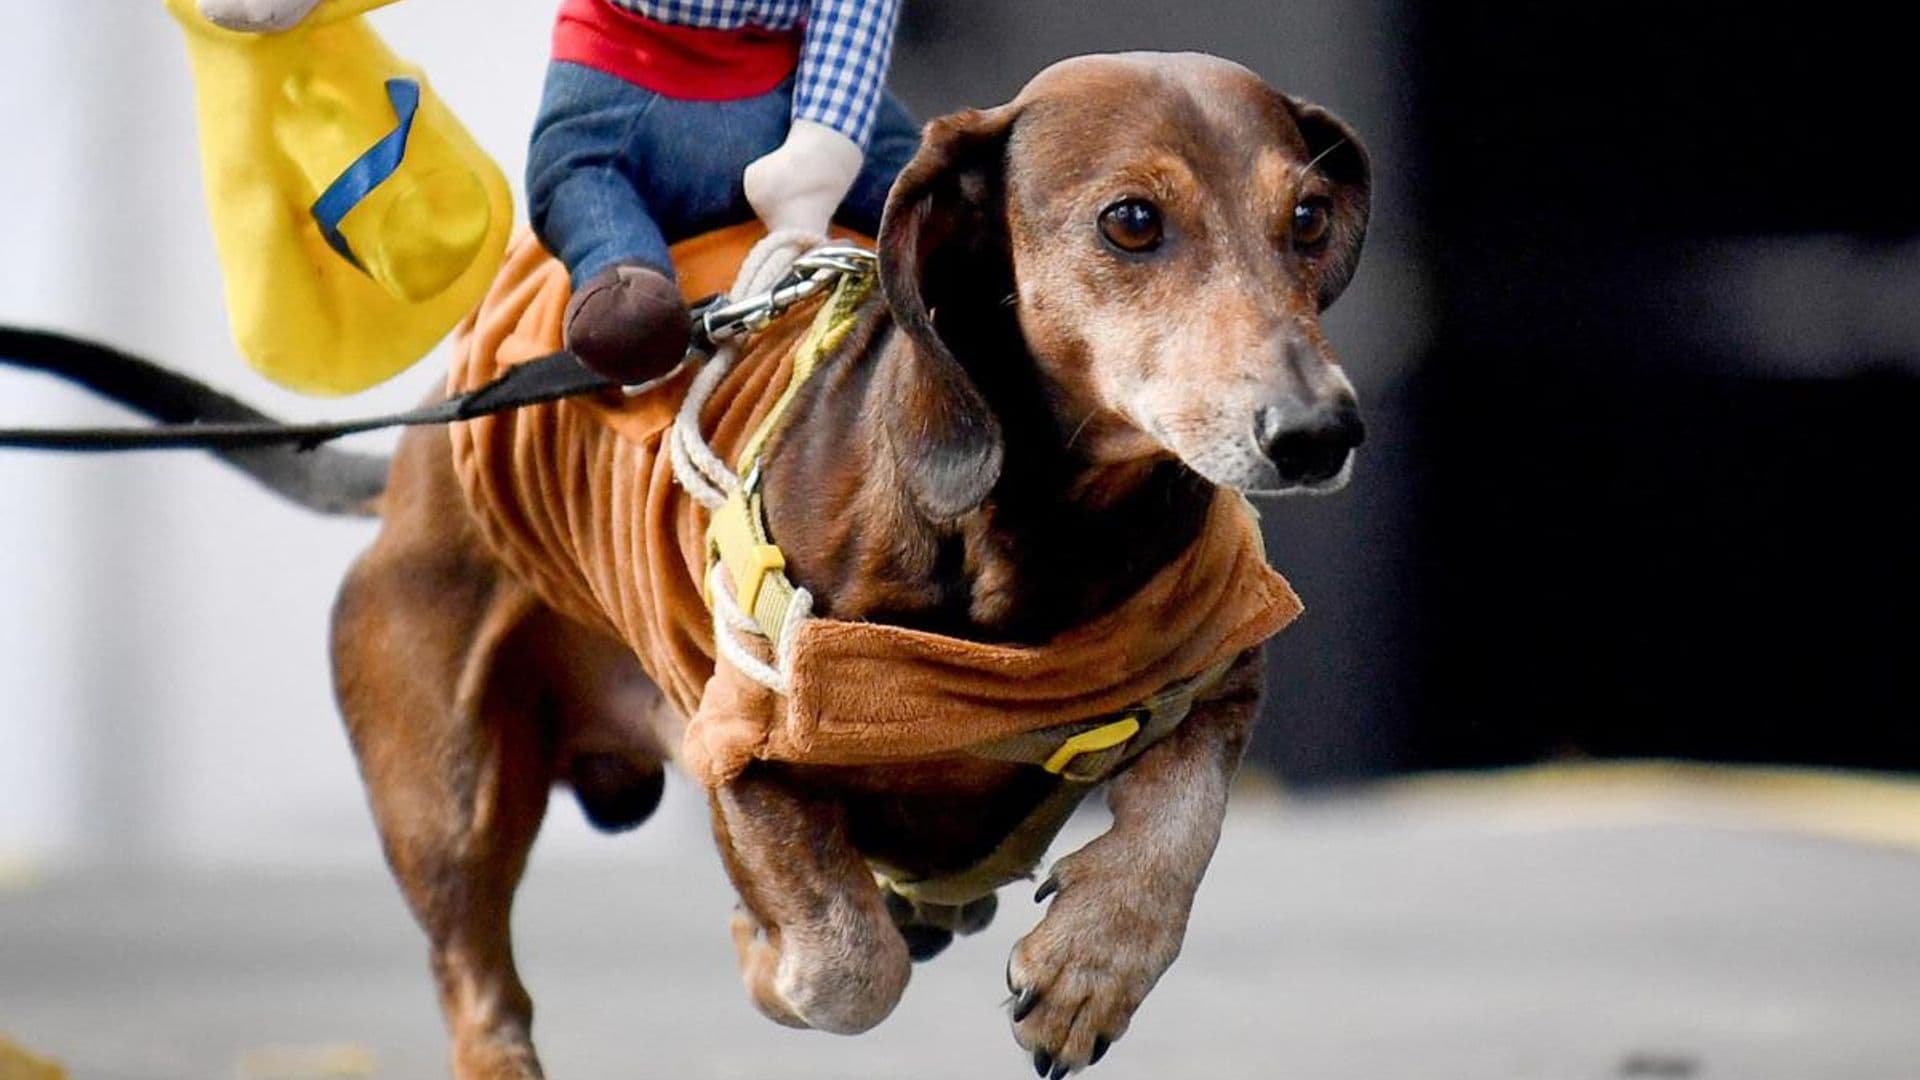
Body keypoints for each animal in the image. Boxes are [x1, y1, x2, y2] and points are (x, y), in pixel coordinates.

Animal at [337, 52, 1374, 1076]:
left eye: (1309, 218)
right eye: (1131, 221)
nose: (1319, 434)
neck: (1043, 552)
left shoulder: (1223, 674)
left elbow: (1179, 826)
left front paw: (1091, 966)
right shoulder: (743, 743)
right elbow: (847, 968)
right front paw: (765, 952)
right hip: (445, 801)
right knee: (484, 994)